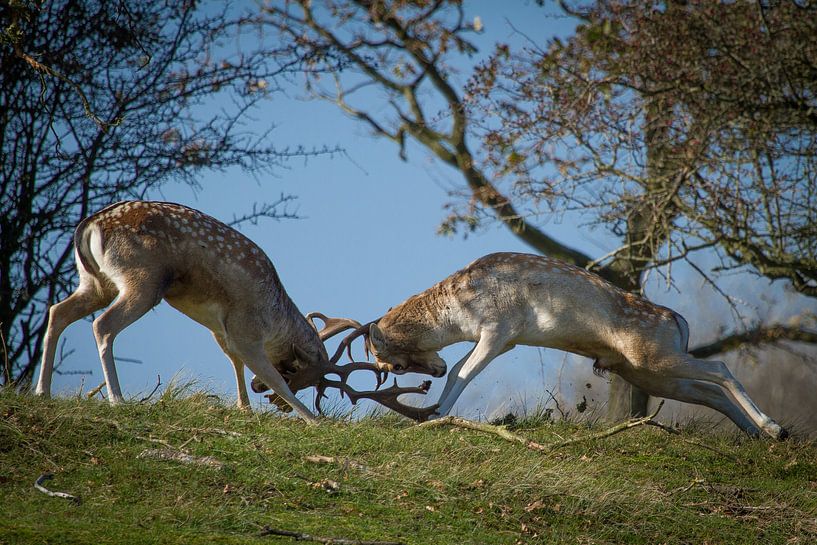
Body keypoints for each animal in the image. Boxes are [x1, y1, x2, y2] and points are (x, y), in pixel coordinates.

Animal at [34, 202, 424, 418]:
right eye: (301, 374)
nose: (262, 396)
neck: (275, 313)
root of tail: (89, 226)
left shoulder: (219, 327)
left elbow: (233, 360)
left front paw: (244, 408)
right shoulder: (246, 327)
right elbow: (264, 371)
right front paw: (313, 420)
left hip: (95, 282)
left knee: (57, 312)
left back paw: (42, 392)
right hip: (142, 281)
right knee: (102, 325)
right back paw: (116, 399)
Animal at [336, 253, 784, 440]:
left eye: (394, 367)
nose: (434, 370)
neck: (459, 309)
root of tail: (680, 321)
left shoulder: (499, 327)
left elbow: (465, 372)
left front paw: (435, 415)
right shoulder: (504, 340)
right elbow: (464, 370)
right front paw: (433, 412)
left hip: (654, 356)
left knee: (720, 370)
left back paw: (772, 427)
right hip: (647, 373)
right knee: (709, 391)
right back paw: (756, 435)